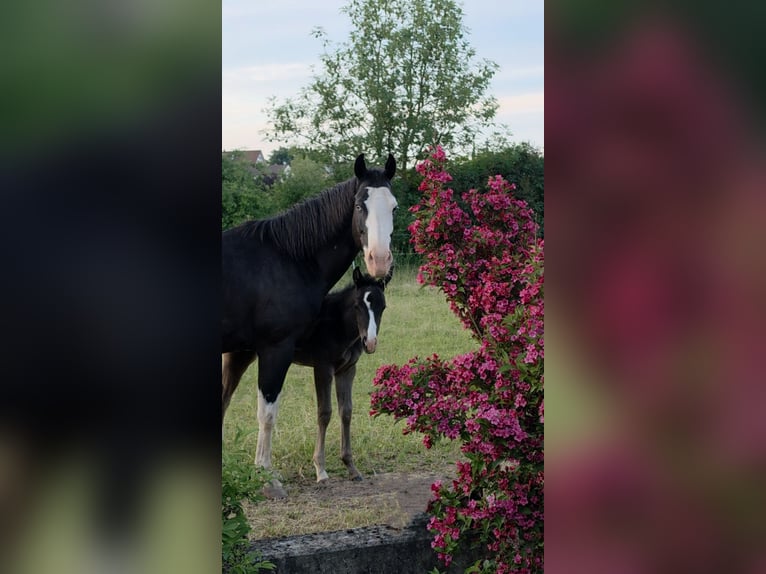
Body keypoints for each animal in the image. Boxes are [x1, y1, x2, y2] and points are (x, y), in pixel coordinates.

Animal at [293, 267, 390, 483]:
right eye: (357, 305)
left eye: (383, 307)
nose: (370, 343)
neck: (338, 324)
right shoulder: (323, 368)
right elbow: (324, 412)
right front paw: (320, 469)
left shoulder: (347, 370)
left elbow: (346, 411)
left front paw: (351, 467)